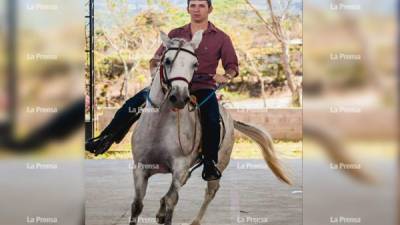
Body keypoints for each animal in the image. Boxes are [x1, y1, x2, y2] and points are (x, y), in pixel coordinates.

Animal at [131, 31, 290, 225]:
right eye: (167, 60)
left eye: (195, 64)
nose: (179, 97)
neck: (160, 127)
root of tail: (230, 118)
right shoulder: (140, 168)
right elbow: (137, 205)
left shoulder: (179, 168)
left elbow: (171, 200)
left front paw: (165, 213)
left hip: (219, 163)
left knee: (210, 191)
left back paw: (195, 220)